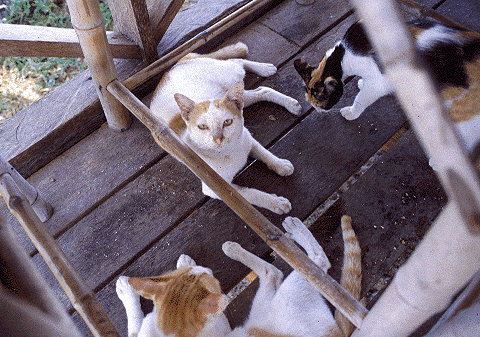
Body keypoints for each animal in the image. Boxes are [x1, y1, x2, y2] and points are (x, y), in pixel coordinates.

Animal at [116, 215, 362, 336]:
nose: (206, 270)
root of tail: (339, 333)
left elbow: (134, 322)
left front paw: (126, 289)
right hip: (265, 306)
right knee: (273, 272)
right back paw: (234, 249)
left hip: (287, 295)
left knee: (316, 262)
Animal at [150, 42, 302, 213]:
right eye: (202, 126)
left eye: (227, 122)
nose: (218, 139)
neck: (230, 151)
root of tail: (173, 67)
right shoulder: (219, 190)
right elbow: (250, 195)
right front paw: (276, 203)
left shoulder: (248, 138)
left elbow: (265, 153)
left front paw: (280, 164)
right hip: (237, 95)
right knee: (261, 89)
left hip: (230, 80)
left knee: (237, 62)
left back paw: (266, 71)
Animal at [292, 19, 480, 161]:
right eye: (311, 104)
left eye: (320, 104)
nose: (317, 111)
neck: (341, 57)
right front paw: (361, 82)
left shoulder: (378, 82)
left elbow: (361, 98)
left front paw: (351, 112)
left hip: (460, 107)